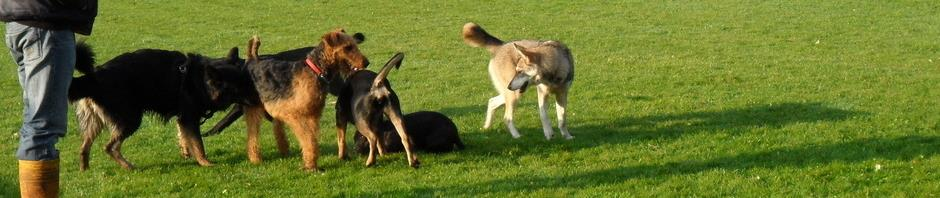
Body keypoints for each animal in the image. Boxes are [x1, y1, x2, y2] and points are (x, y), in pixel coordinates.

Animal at [241, 29, 370, 172]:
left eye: (355, 44)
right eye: (347, 47)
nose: (366, 63)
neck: (316, 70)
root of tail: (253, 58)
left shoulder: (312, 115)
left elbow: (312, 140)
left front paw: (311, 162)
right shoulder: (295, 115)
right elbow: (308, 139)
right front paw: (311, 166)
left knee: (275, 128)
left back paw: (284, 150)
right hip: (254, 109)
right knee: (252, 136)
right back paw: (256, 159)